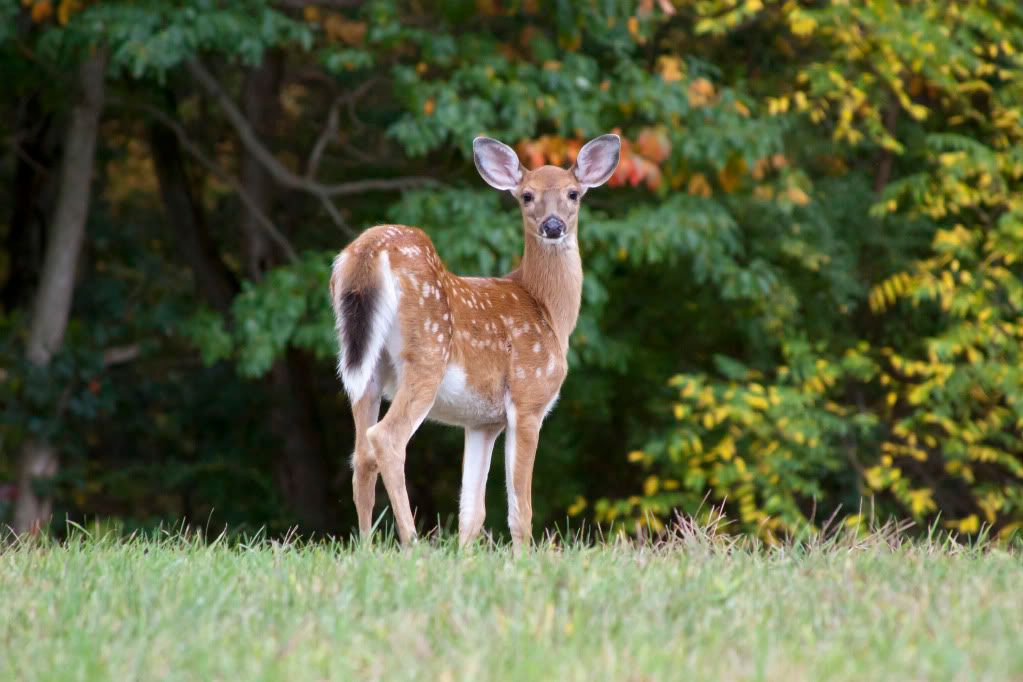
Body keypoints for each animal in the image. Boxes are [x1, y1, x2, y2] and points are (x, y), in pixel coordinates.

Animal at [329, 133, 620, 551]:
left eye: (573, 193)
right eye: (527, 195)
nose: (553, 225)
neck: (548, 312)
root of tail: (368, 253)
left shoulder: (483, 420)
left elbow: (472, 511)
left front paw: (466, 555)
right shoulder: (528, 397)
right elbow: (520, 507)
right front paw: (522, 558)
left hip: (363, 367)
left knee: (360, 456)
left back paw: (368, 547)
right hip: (426, 354)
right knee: (386, 438)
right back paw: (412, 542)